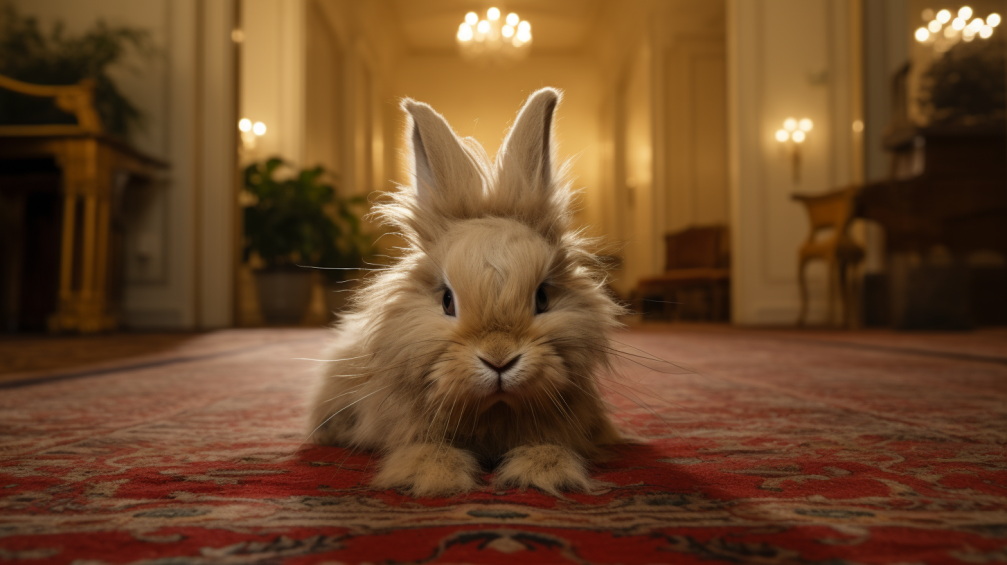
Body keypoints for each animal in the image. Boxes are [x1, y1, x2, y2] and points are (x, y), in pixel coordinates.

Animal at [307, 87, 625, 497]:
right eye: (447, 301)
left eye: (542, 298)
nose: (499, 360)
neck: (493, 411)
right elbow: (427, 448)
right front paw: (433, 477)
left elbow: (547, 445)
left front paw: (545, 472)